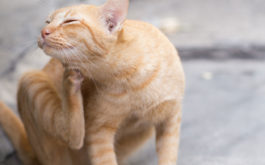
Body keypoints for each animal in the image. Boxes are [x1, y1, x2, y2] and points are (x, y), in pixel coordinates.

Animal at [0, 0, 184, 164]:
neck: (128, 78)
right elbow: (104, 159)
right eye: (47, 22)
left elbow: (168, 157)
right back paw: (70, 80)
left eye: (69, 21)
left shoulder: (171, 118)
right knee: (72, 136)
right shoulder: (98, 133)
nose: (43, 31)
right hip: (30, 79)